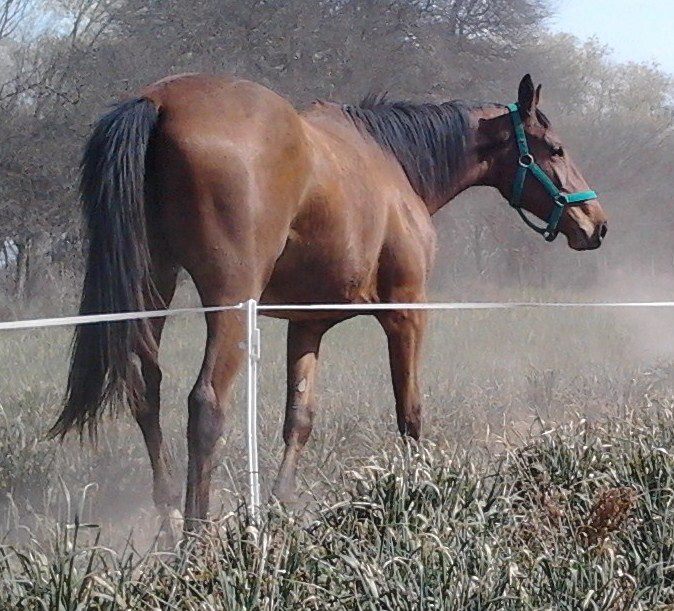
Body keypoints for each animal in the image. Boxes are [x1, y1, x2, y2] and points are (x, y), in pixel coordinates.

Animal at [50, 73, 607, 532]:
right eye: (555, 149)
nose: (596, 224)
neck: (393, 163)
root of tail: (160, 101)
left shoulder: (308, 325)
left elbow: (299, 419)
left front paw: (280, 507)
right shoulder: (406, 312)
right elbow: (410, 412)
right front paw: (419, 493)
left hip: (153, 289)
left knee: (146, 392)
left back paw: (167, 525)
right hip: (230, 304)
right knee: (204, 405)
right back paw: (194, 537)